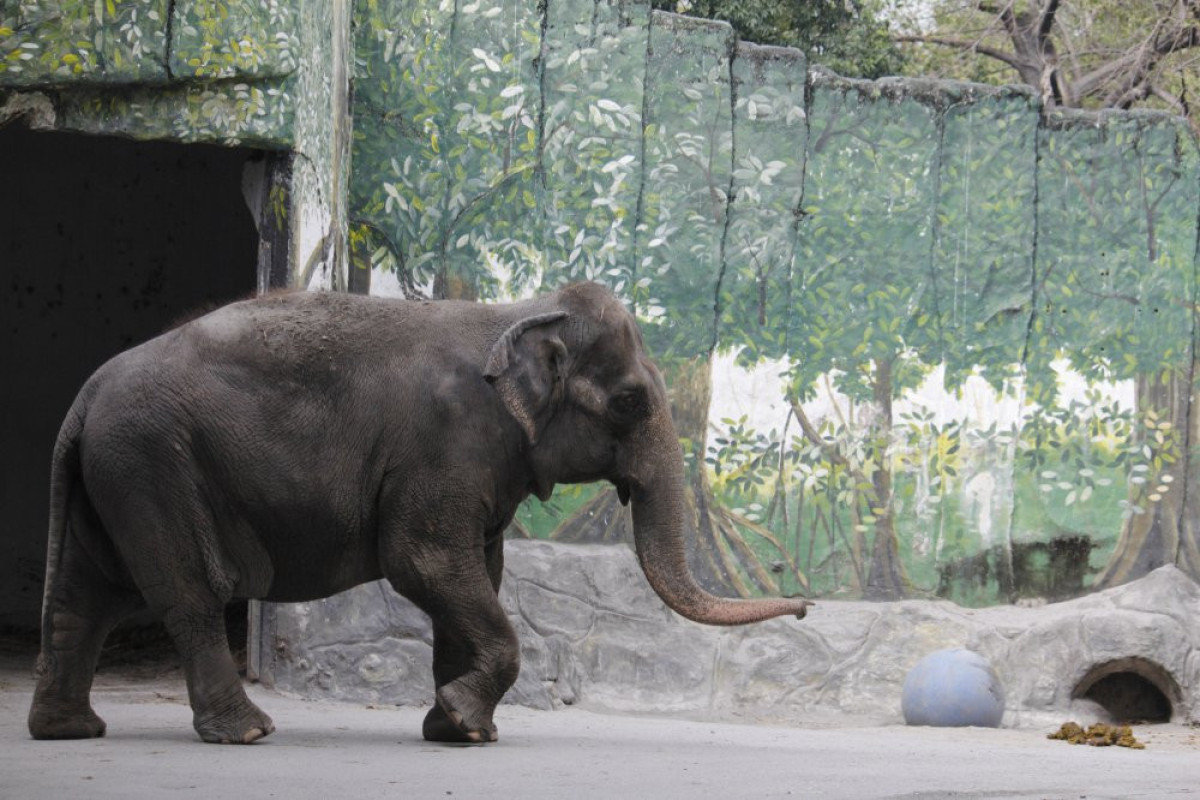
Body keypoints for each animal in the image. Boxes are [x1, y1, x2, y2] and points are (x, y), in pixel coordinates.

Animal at [28, 281, 811, 743]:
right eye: (628, 401)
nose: (802, 604)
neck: (518, 312)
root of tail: (84, 397)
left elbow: (476, 574)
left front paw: (458, 728)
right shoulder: (447, 442)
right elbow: (425, 563)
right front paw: (465, 719)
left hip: (117, 473)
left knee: (83, 598)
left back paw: (71, 730)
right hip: (153, 465)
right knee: (188, 594)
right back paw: (248, 731)